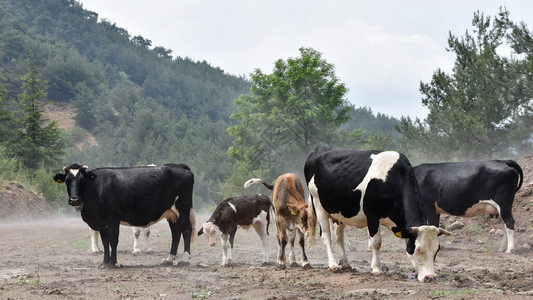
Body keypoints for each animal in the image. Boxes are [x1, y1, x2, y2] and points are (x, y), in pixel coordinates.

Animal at [53, 164, 195, 268]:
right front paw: (104, 263)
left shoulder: (113, 219)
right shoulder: (102, 222)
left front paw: (113, 263)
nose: (74, 200)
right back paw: (169, 259)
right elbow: (105, 242)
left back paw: (185, 259)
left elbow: (113, 241)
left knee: (186, 230)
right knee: (176, 232)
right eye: (67, 181)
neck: (97, 189)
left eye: (82, 180)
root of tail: (179, 166)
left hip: (182, 208)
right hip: (171, 213)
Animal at [304, 146, 448, 282]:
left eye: (437, 250)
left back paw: (345, 263)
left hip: (340, 212)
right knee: (326, 236)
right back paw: (333, 264)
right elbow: (376, 242)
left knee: (338, 236)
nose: (430, 277)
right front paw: (376, 268)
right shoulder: (372, 216)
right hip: (318, 204)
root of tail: (319, 148)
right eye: (418, 249)